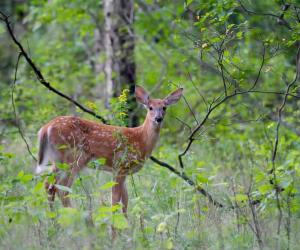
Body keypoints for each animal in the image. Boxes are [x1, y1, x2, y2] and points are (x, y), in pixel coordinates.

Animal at [36, 85, 184, 215]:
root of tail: (45, 128)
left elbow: (125, 201)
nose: (158, 118)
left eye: (164, 107)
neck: (141, 139)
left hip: (59, 159)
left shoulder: (122, 171)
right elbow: (115, 200)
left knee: (49, 185)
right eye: (150, 107)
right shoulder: (121, 165)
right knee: (60, 188)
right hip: (70, 157)